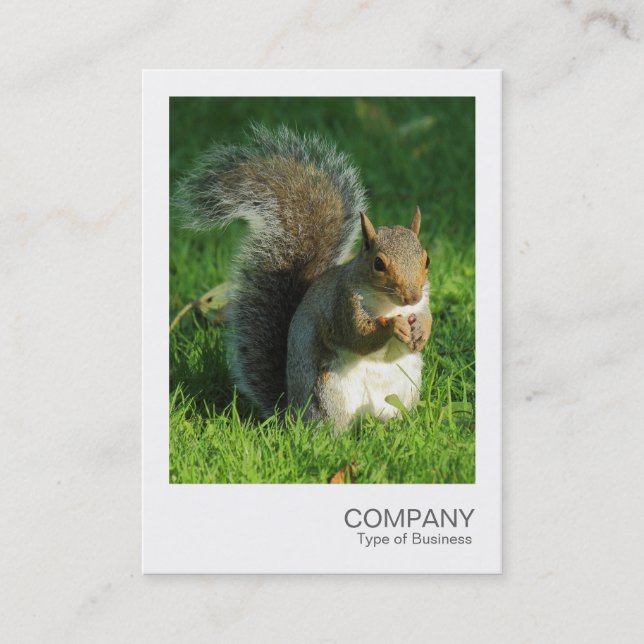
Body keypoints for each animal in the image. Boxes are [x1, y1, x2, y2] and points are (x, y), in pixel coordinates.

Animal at [174, 124, 432, 431]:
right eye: (378, 263)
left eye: (427, 260)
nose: (412, 296)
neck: (389, 303)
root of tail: (292, 413)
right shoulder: (342, 305)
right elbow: (358, 336)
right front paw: (394, 326)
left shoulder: (423, 301)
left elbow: (425, 318)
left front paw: (423, 331)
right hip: (329, 391)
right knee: (331, 428)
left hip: (406, 385)